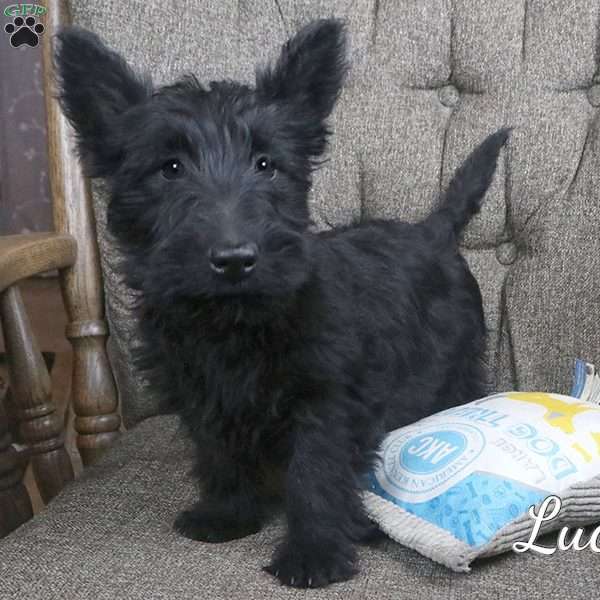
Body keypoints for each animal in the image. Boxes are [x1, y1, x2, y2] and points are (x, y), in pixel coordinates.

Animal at [55, 17, 506, 584]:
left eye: (266, 164)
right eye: (170, 167)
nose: (234, 259)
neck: (231, 319)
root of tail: (435, 230)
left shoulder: (325, 401)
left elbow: (314, 473)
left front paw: (313, 553)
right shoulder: (202, 395)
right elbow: (218, 452)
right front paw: (227, 514)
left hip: (455, 368)